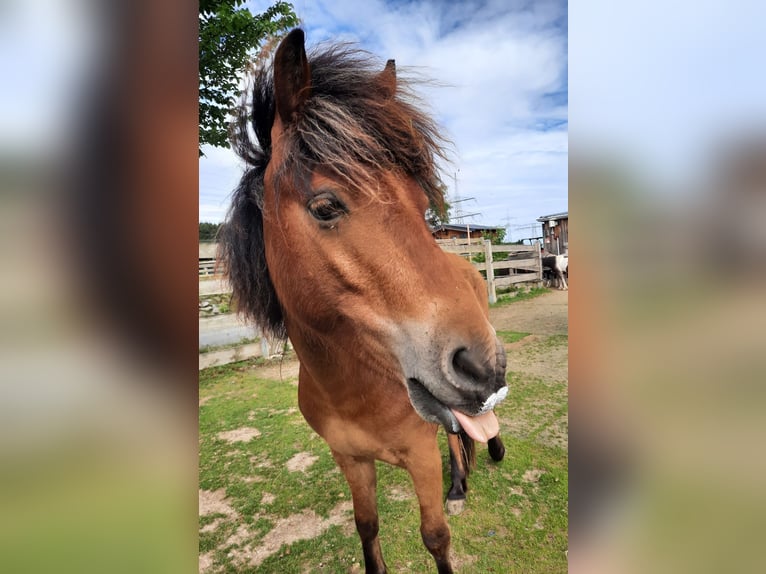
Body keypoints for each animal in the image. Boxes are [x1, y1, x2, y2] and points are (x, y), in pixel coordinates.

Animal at [222, 29, 510, 572]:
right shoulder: (350, 461)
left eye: (422, 205)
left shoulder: (420, 456)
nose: (484, 367)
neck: (351, 390)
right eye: (325, 207)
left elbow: (435, 537)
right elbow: (367, 528)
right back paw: (460, 483)